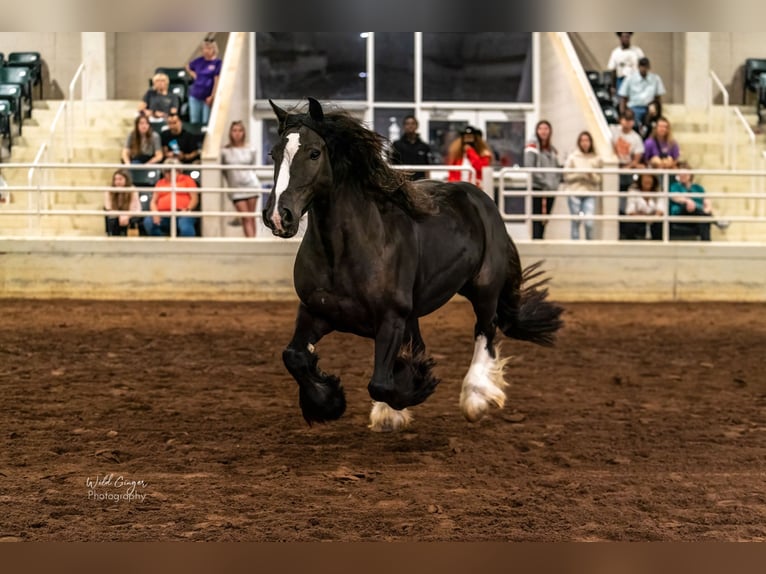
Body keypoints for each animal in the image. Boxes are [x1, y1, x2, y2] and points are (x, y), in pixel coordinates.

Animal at [266, 99, 564, 432]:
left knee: (485, 331)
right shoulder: (315, 312)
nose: (278, 216)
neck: (345, 253)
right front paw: (328, 402)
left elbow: (380, 383)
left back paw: (476, 398)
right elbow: (293, 356)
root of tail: (480, 198)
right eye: (273, 153)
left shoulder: (391, 318)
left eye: (314, 152)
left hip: (484, 288)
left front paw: (414, 386)